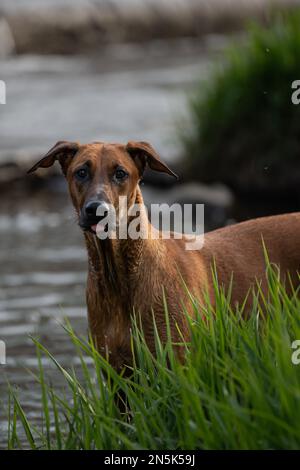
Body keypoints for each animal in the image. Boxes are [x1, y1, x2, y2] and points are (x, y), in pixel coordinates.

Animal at [28, 140, 300, 370]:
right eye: (81, 172)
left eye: (120, 173)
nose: (96, 210)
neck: (120, 277)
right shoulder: (116, 374)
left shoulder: (177, 361)